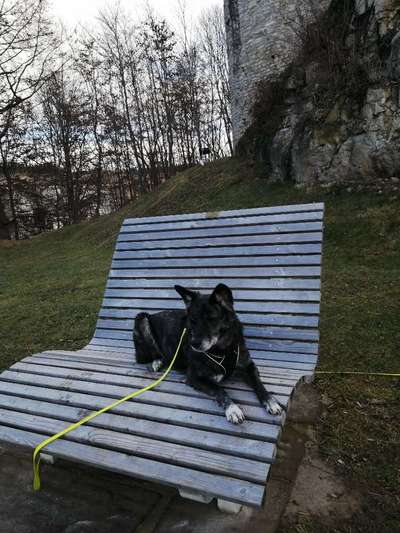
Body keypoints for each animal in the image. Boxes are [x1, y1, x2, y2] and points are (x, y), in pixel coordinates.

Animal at [133, 282, 282, 424]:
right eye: (192, 320)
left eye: (212, 319)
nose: (194, 344)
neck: (223, 349)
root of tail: (153, 314)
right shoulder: (195, 378)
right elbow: (219, 390)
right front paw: (232, 409)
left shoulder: (249, 366)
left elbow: (259, 384)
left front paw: (270, 401)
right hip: (142, 318)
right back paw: (156, 362)